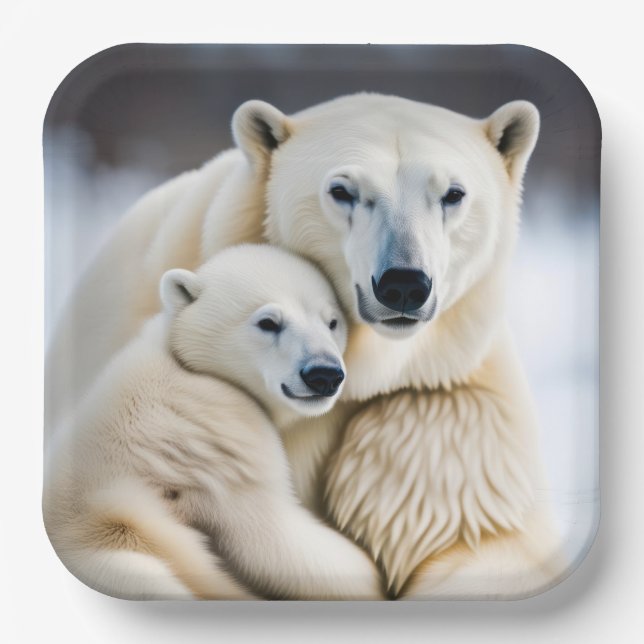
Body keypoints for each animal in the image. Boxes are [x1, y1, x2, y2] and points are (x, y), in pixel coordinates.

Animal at [44, 244, 383, 600]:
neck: (193, 367)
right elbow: (271, 537)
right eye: (268, 322)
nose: (324, 374)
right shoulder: (229, 434)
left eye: (332, 322)